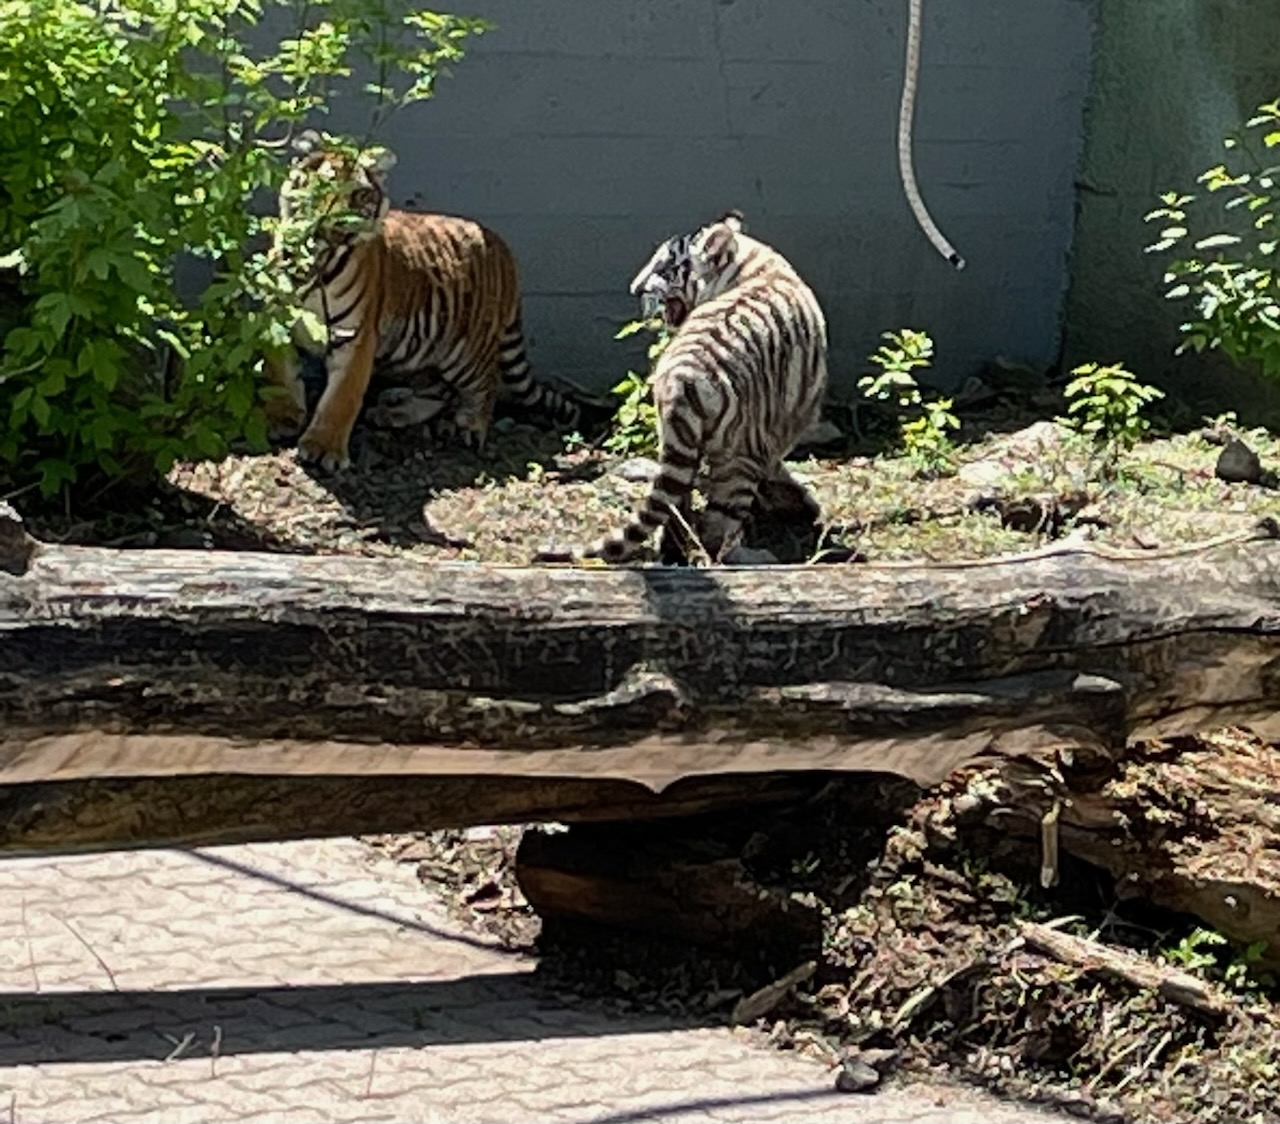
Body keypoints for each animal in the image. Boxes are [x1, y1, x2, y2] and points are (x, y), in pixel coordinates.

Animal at [263, 130, 595, 471]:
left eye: (361, 195)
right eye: (325, 187)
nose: (343, 224)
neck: (318, 260)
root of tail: (503, 248)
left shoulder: (355, 336)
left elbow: (342, 396)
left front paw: (324, 449)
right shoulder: (276, 320)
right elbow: (279, 373)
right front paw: (282, 419)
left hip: (464, 352)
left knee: (486, 384)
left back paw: (470, 427)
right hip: (415, 351)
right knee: (441, 391)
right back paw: (393, 413)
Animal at [588, 211, 829, 564]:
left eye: (663, 268)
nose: (634, 289)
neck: (750, 262)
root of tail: (685, 377)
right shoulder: (782, 425)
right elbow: (777, 465)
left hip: (675, 442)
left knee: (674, 506)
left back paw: (673, 555)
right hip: (738, 455)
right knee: (718, 529)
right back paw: (746, 556)